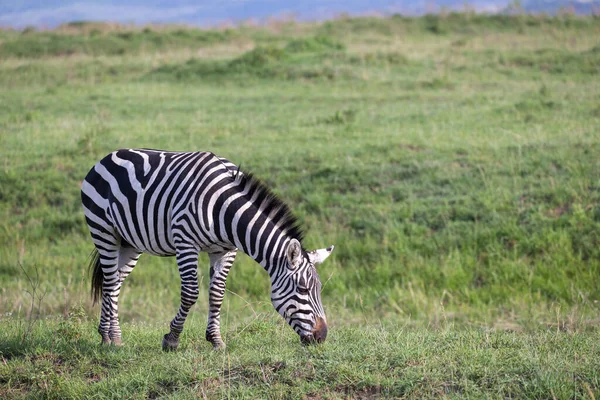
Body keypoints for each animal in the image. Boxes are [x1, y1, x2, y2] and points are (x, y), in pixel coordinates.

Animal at [81, 148, 332, 348]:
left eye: (319, 289)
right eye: (303, 290)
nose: (322, 337)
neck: (225, 210)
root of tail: (109, 155)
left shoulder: (225, 250)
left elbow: (217, 294)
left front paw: (216, 340)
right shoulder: (185, 241)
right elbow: (191, 293)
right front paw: (172, 339)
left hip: (130, 243)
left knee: (115, 283)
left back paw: (109, 335)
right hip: (103, 231)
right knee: (110, 282)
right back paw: (110, 338)